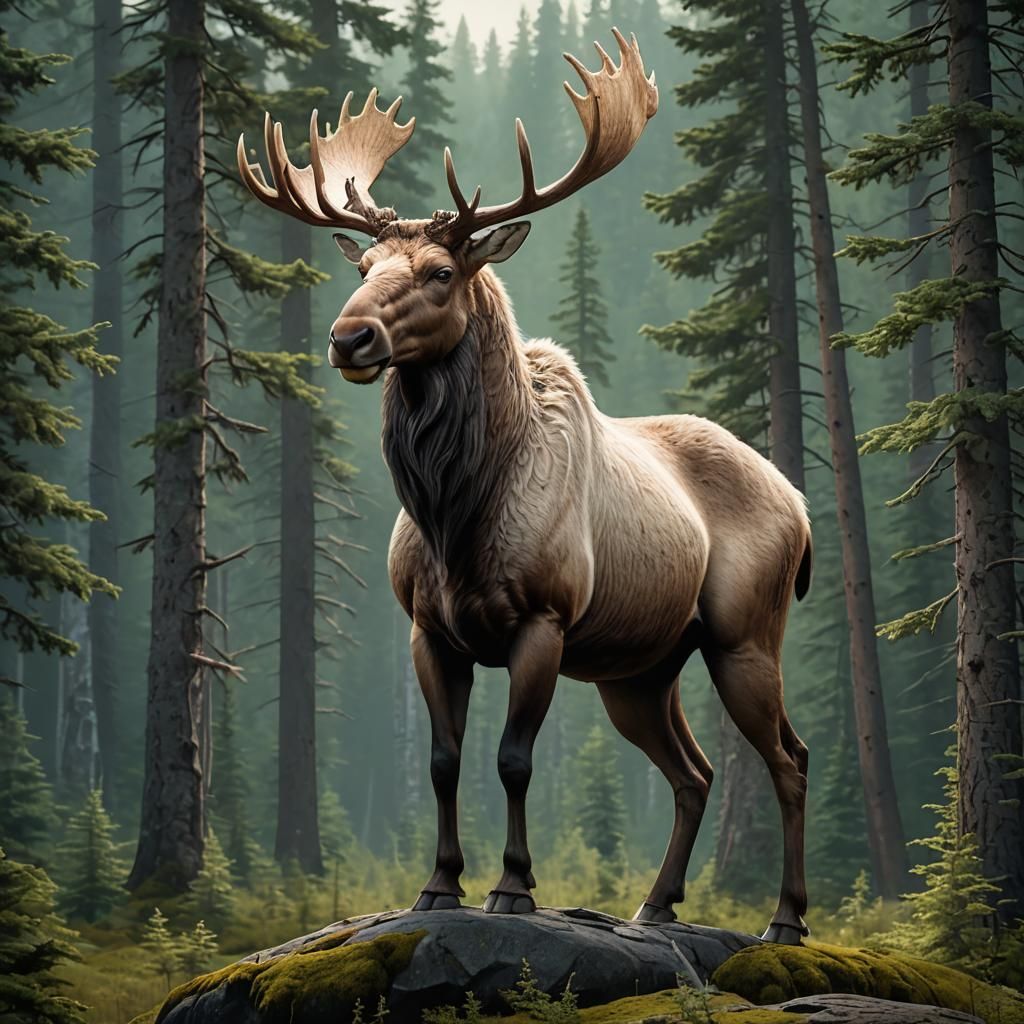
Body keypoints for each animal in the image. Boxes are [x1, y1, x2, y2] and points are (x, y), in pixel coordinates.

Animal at [238, 30, 813, 945]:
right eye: (364, 266)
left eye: (441, 271)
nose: (349, 337)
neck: (456, 514)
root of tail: (801, 507)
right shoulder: (428, 629)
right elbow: (443, 762)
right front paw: (438, 885)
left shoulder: (543, 618)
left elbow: (513, 760)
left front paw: (514, 886)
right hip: (639, 670)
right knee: (694, 771)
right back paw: (654, 905)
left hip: (744, 635)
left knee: (788, 758)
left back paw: (786, 919)